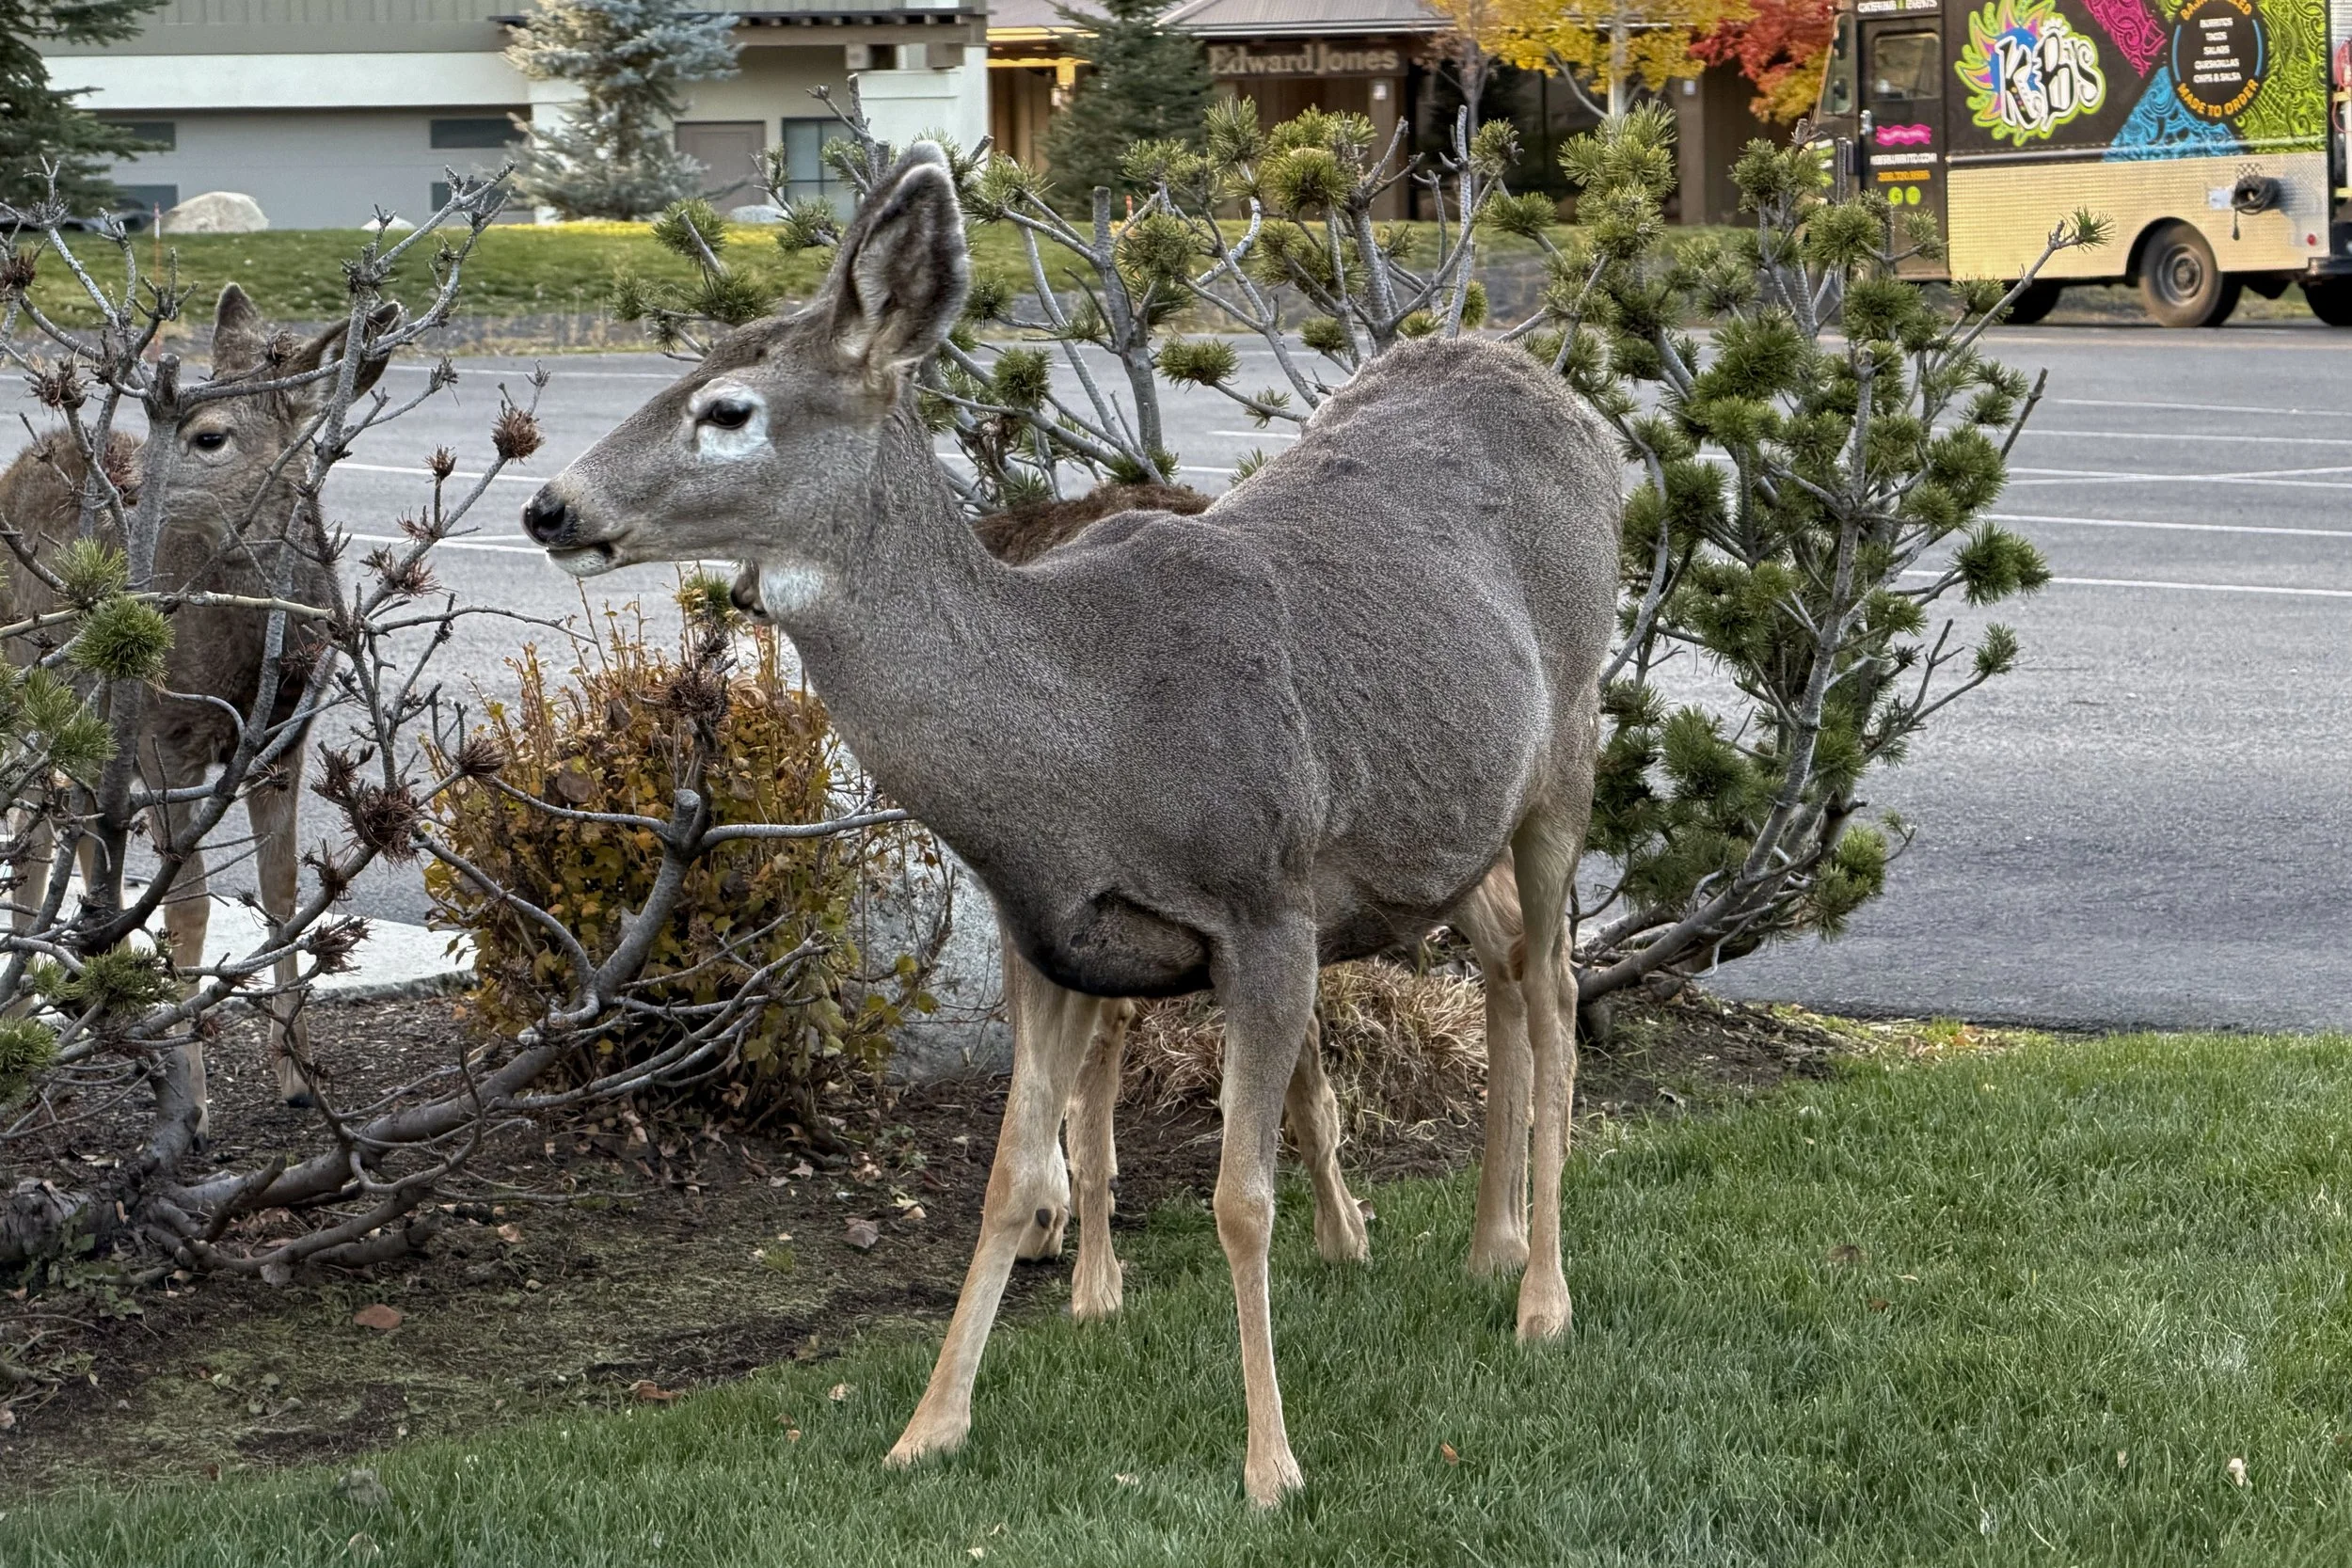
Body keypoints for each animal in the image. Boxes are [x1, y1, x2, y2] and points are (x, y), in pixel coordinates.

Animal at [0, 285, 372, 1131]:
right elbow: (191, 905)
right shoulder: (166, 738)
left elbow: (281, 890)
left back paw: (92, 991)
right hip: (28, 684)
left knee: (75, 820)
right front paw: (192, 1100)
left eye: (210, 435)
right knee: (34, 828)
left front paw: (296, 1073)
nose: (128, 497)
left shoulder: (281, 742)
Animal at [521, 143, 1619, 1507]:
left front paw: (1270, 1461)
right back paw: (1490, 1242)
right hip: (1446, 821)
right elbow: (1009, 1180)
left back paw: (1543, 1298)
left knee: (1561, 990)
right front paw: (928, 1426)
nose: (550, 506)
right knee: (1513, 963)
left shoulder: (1267, 898)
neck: (1084, 740)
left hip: (1567, 744)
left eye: (726, 409)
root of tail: (1565, 398)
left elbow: (1240, 1197)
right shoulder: (1045, 935)